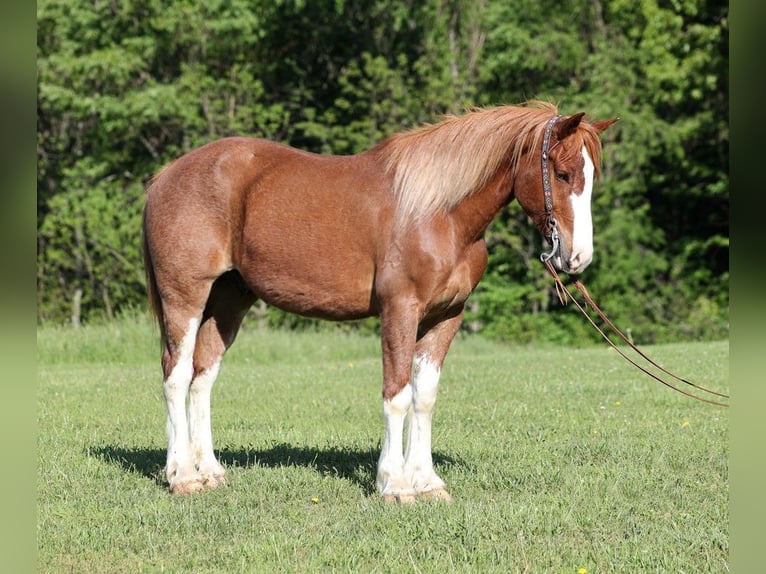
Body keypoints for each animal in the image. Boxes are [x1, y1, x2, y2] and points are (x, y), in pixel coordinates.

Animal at [141, 101, 616, 502]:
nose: (578, 257)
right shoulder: (400, 310)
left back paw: (209, 471)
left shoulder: (446, 317)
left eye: (592, 177)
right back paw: (182, 476)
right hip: (185, 295)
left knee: (203, 377)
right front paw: (395, 484)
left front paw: (428, 482)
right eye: (562, 173)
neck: (438, 213)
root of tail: (165, 176)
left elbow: (425, 397)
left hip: (229, 300)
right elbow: (397, 394)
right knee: (176, 375)